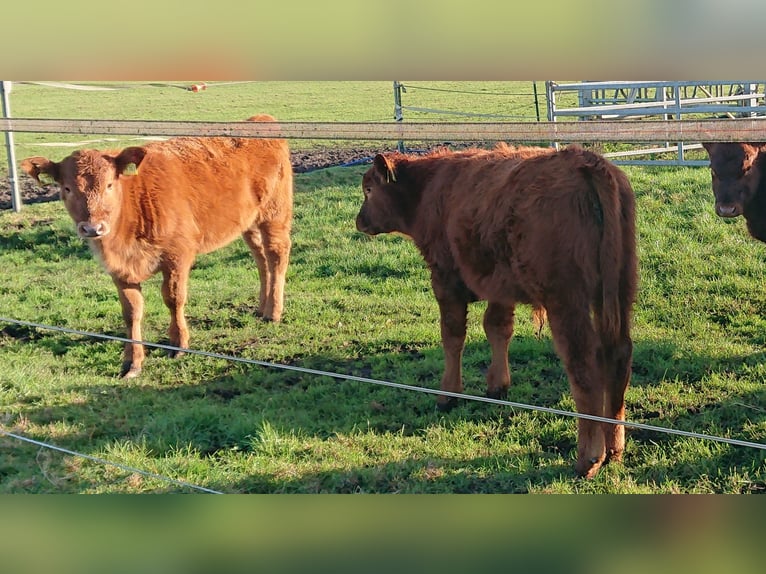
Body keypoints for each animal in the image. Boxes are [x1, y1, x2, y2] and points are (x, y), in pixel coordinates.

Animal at [18, 115, 294, 380]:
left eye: (109, 184)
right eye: (66, 188)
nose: (92, 228)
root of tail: (260, 120)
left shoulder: (177, 256)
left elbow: (173, 298)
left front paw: (179, 344)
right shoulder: (119, 270)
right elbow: (131, 312)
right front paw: (132, 363)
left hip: (275, 214)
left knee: (276, 256)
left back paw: (274, 312)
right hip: (249, 223)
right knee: (261, 259)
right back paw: (262, 308)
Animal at [356, 145, 640, 482]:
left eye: (369, 189)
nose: (359, 221)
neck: (431, 186)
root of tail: (586, 161)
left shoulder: (445, 278)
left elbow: (453, 336)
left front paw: (448, 395)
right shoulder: (500, 287)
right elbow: (497, 328)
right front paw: (497, 385)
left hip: (567, 302)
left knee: (583, 366)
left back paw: (588, 458)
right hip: (620, 292)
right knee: (618, 355)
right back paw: (615, 448)